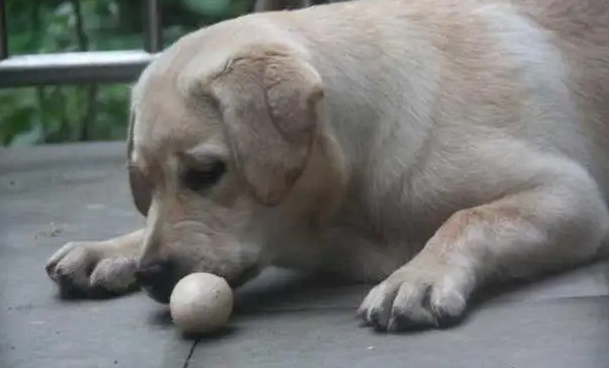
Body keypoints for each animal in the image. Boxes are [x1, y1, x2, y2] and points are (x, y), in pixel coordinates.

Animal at [45, 0, 608, 332]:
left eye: (205, 173)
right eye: (146, 183)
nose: (152, 276)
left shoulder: (570, 194)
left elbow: (467, 217)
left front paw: (419, 274)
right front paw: (110, 249)